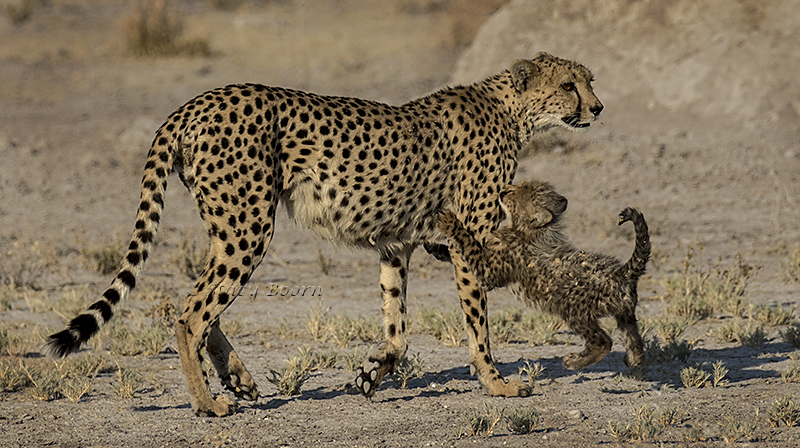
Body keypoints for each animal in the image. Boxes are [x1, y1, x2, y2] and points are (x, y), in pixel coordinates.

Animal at [47, 51, 604, 416]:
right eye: (569, 86)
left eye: (589, 81)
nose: (597, 108)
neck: (512, 109)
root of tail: (199, 100)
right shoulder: (469, 242)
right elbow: (477, 324)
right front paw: (497, 384)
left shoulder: (395, 244)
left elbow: (398, 327)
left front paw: (372, 372)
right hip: (249, 225)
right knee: (191, 313)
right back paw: (208, 404)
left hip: (230, 225)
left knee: (203, 305)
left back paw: (238, 380)